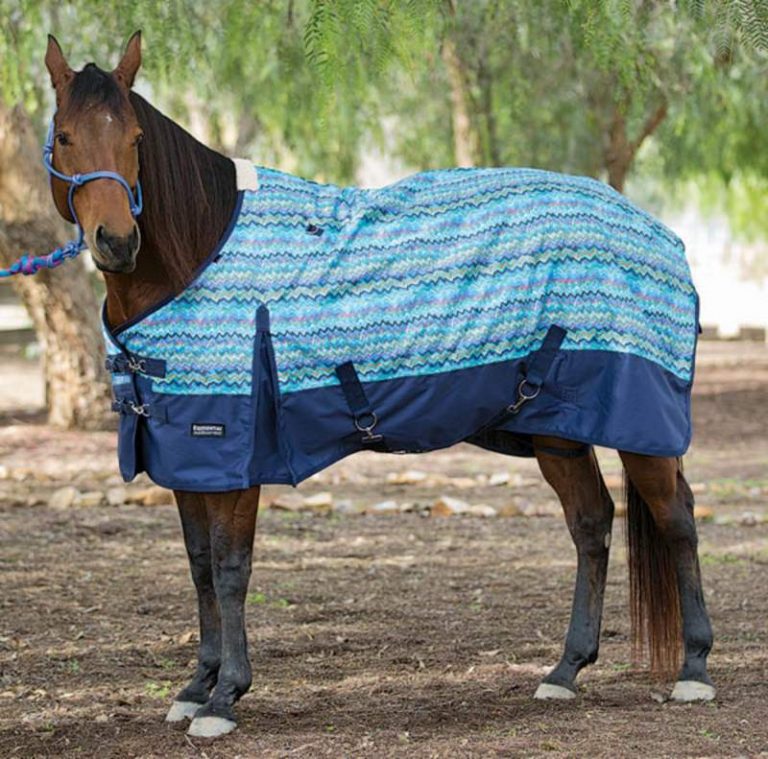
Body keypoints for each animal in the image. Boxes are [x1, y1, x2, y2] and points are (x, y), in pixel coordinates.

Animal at [40, 32, 714, 738]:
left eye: (136, 138)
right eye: (64, 137)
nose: (117, 242)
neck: (200, 252)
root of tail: (664, 235)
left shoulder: (235, 457)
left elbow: (230, 568)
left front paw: (224, 697)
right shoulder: (186, 459)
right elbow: (199, 567)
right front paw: (195, 686)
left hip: (641, 428)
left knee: (677, 519)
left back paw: (694, 669)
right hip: (558, 434)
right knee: (591, 523)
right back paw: (565, 671)